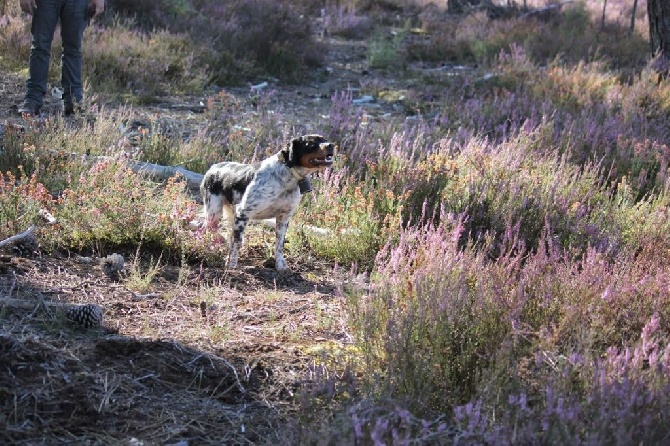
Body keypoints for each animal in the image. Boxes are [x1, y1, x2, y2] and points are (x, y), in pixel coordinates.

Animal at [200, 134, 336, 270]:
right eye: (311, 143)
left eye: (324, 139)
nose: (332, 145)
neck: (286, 176)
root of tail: (213, 167)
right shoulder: (243, 213)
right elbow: (237, 242)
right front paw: (231, 265)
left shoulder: (284, 217)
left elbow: (279, 245)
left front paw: (280, 265)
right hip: (214, 212)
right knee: (207, 229)